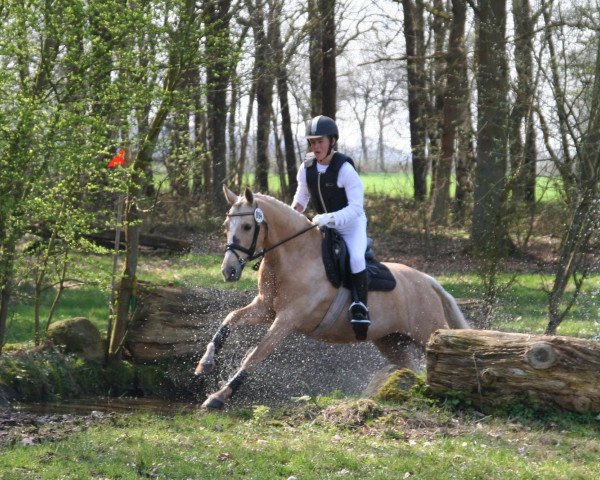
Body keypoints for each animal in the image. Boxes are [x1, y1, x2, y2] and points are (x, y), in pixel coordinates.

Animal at [196, 187, 468, 408]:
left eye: (247, 226)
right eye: (225, 227)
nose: (228, 271)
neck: (293, 257)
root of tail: (428, 280)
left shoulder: (287, 319)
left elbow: (256, 354)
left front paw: (219, 396)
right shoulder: (266, 309)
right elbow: (229, 320)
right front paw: (205, 363)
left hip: (427, 331)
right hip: (391, 341)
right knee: (411, 368)